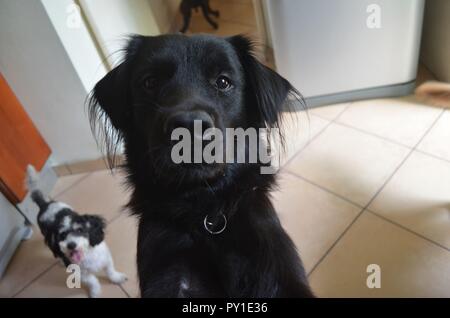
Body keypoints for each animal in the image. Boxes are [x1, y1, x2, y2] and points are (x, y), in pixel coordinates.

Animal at [25, 165, 126, 296]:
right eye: (62, 235)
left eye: (79, 230)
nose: (71, 245)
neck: (87, 254)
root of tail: (45, 204)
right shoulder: (81, 273)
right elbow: (93, 281)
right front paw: (95, 292)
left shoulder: (106, 258)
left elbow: (110, 270)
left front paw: (116, 278)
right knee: (56, 252)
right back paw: (61, 260)